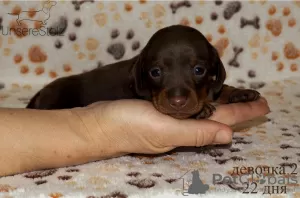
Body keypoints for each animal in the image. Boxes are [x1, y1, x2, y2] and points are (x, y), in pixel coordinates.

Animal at [27, 25, 258, 120]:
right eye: (155, 72)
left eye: (198, 70)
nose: (178, 102)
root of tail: (39, 95)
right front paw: (201, 110)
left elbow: (217, 88)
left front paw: (238, 92)